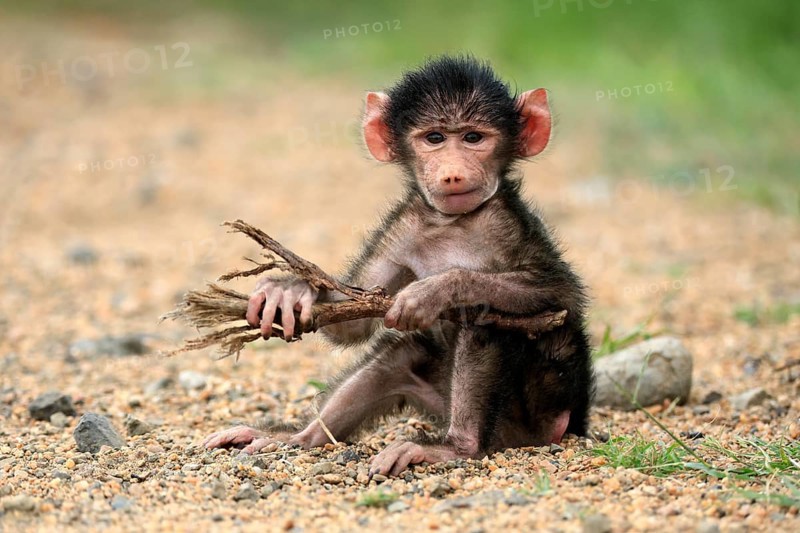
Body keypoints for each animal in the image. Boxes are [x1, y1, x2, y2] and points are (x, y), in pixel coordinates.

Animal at [203, 55, 594, 478]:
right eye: (434, 138)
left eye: (473, 138)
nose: (452, 172)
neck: (452, 222)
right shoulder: (403, 225)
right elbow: (352, 324)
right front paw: (290, 289)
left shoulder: (507, 222)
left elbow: (560, 296)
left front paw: (436, 290)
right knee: (398, 356)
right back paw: (298, 437)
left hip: (543, 403)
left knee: (484, 321)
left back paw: (456, 448)